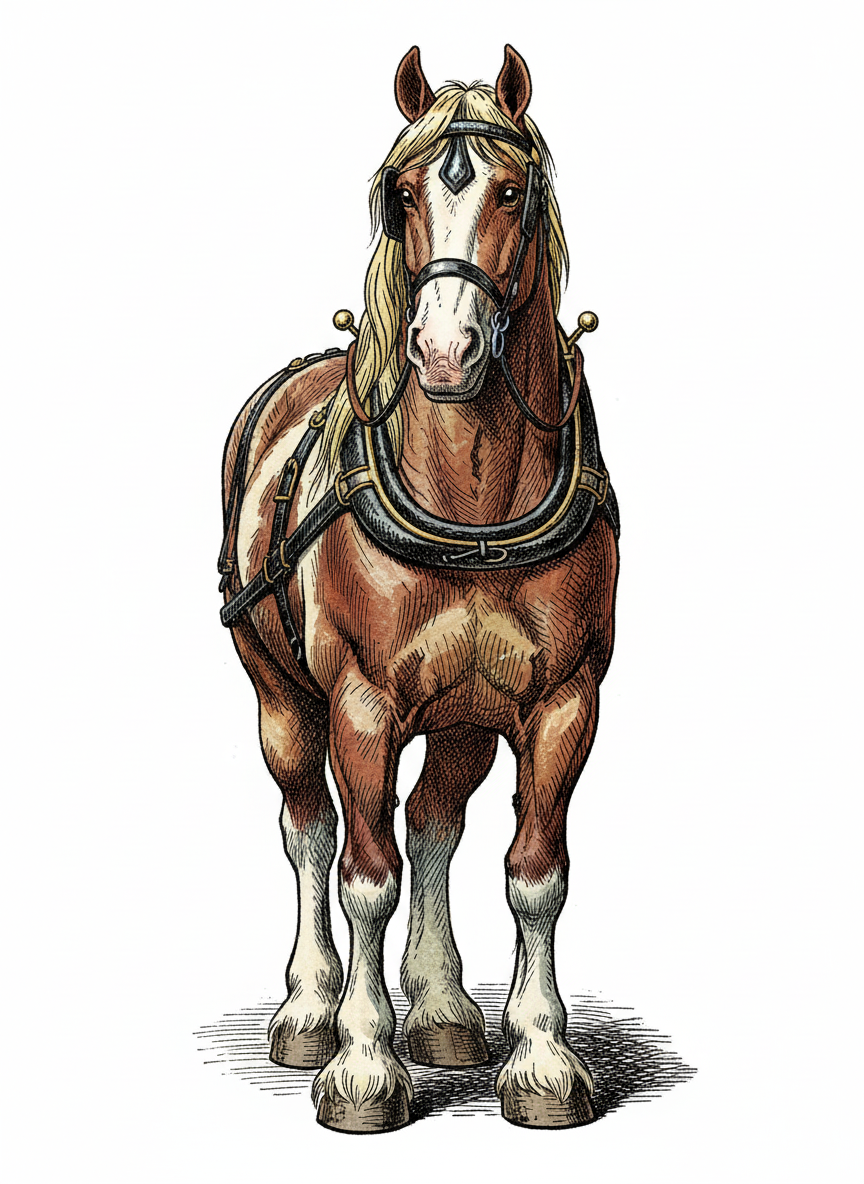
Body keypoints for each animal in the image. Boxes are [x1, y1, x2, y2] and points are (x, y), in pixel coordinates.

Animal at [218, 45, 619, 1133]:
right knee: (311, 832)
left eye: (512, 191)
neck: (472, 500)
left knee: (435, 825)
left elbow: (535, 876)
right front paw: (361, 1064)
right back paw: (311, 1008)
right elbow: (366, 877)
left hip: (465, 717)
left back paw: (441, 1011)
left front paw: (542, 1060)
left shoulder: (564, 702)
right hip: (283, 699)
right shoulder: (361, 703)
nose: (443, 351)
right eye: (402, 195)